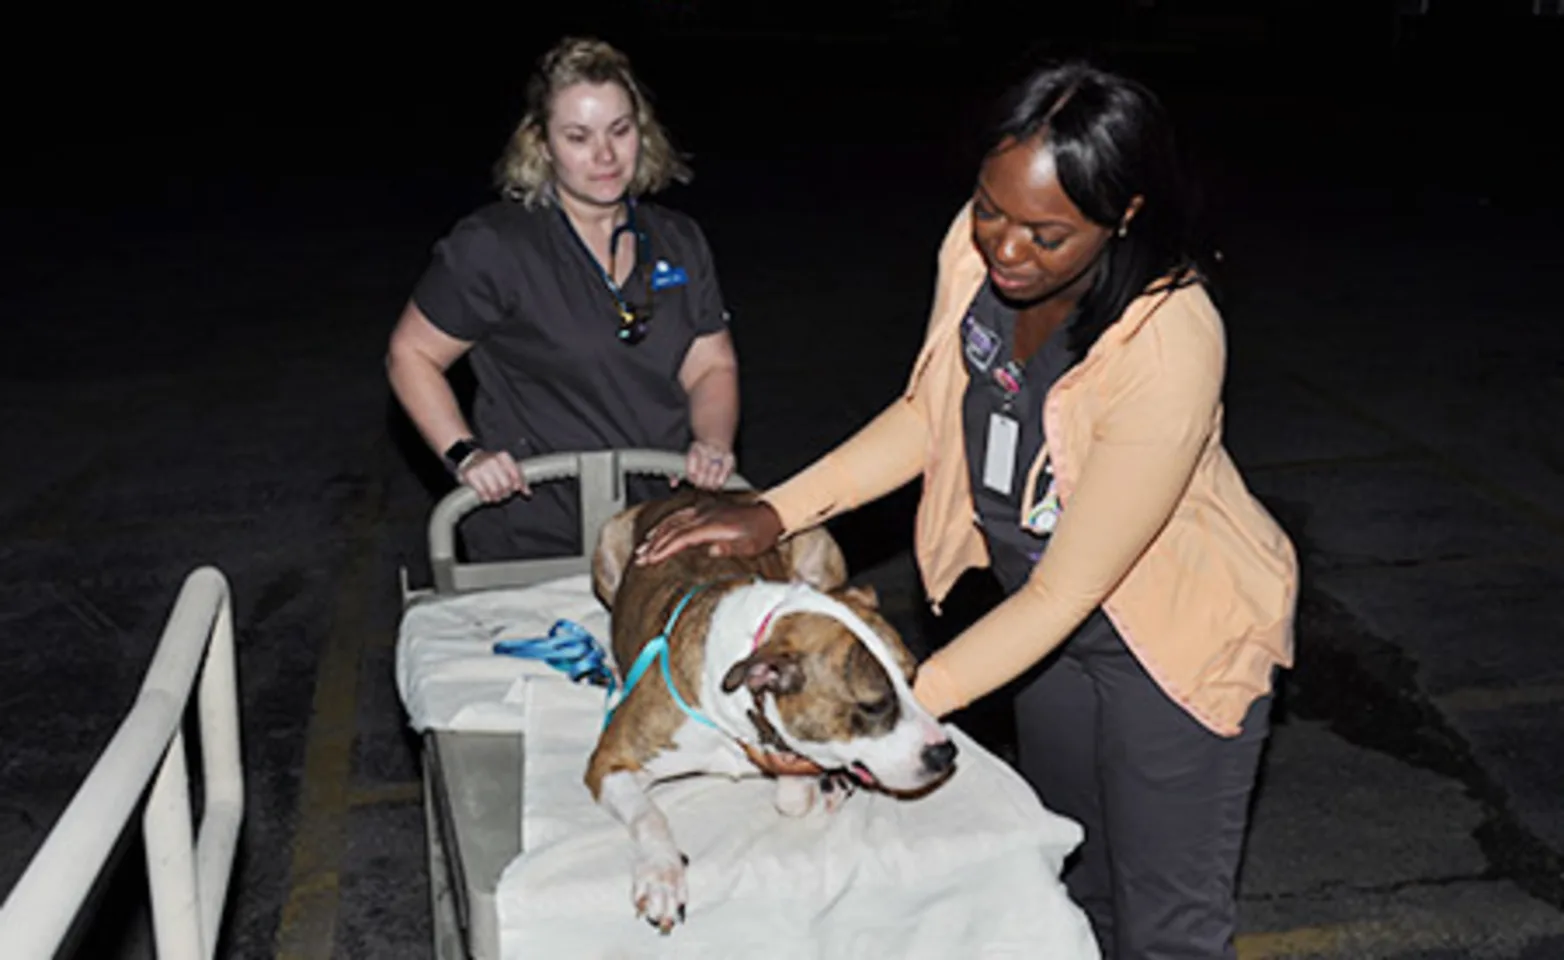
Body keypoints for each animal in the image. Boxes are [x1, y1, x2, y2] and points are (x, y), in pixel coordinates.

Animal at [584, 487, 950, 931]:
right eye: (874, 704)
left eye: (913, 678)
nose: (946, 752)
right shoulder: (610, 761)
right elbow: (649, 815)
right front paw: (661, 874)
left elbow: (794, 796)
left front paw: (818, 781)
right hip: (608, 542)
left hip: (819, 541)